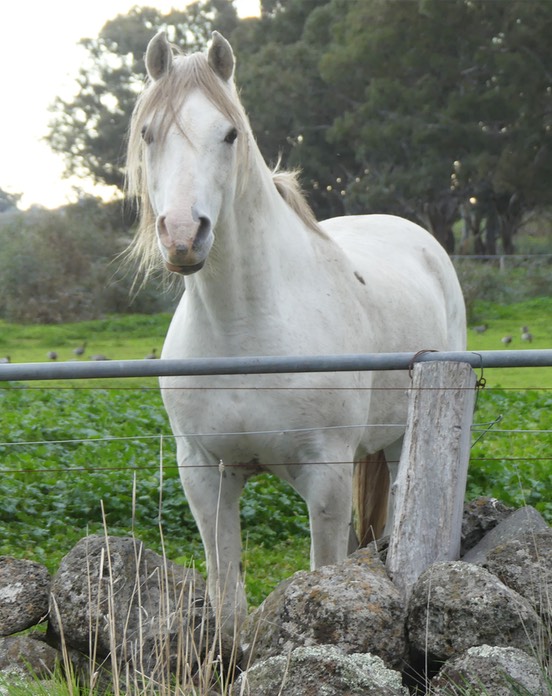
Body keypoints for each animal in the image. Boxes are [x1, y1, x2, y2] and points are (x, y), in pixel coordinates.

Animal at [126, 31, 466, 632]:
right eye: (149, 133)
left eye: (230, 134)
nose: (184, 235)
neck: (243, 334)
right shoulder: (204, 473)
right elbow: (228, 601)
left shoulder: (325, 477)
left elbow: (324, 577)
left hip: (405, 441)